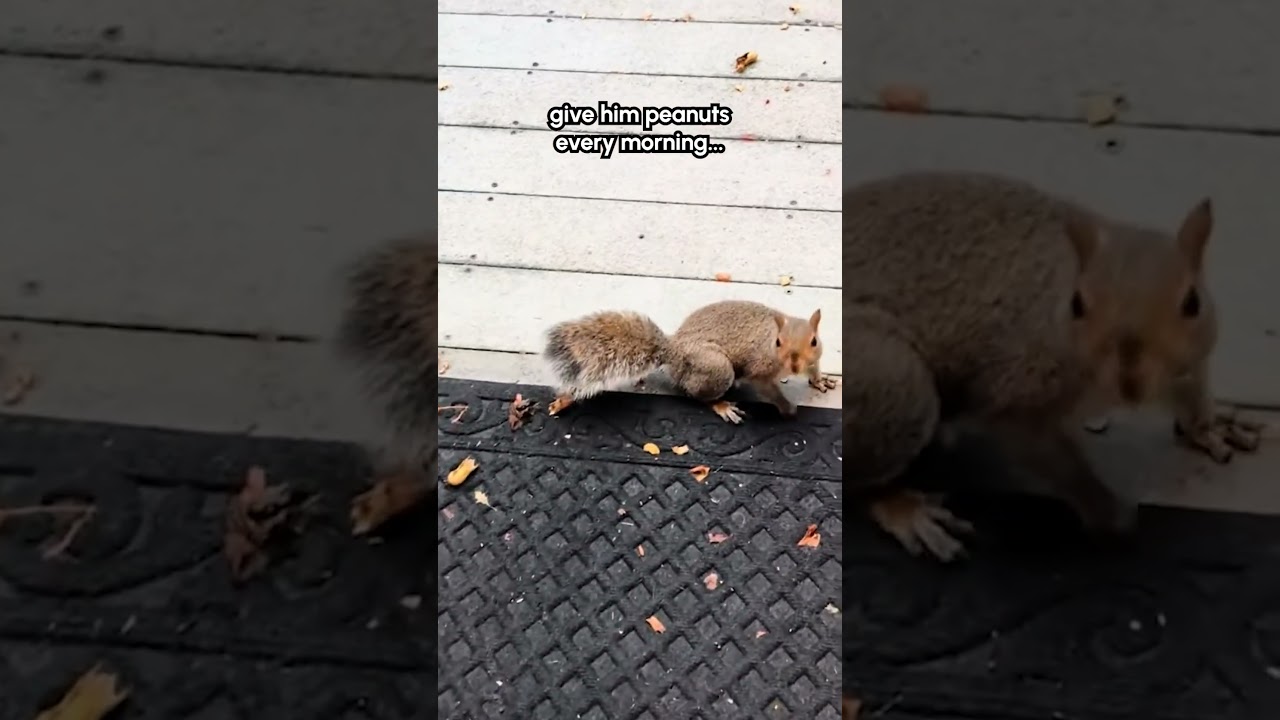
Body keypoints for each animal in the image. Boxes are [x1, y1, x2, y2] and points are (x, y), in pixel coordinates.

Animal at [543, 300, 838, 423]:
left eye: (814, 341)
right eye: (777, 342)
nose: (795, 365)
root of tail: (673, 351)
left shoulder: (815, 357)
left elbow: (815, 368)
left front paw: (820, 380)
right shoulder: (761, 369)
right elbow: (768, 389)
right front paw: (787, 407)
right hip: (716, 368)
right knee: (696, 394)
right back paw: (722, 406)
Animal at [842, 171, 1264, 561]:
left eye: (1193, 302)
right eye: (1077, 303)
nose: (1131, 384)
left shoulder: (1192, 358)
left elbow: (1193, 392)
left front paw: (1213, 426)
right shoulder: (1021, 386)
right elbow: (1047, 454)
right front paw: (1107, 509)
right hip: (895, 384)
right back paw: (904, 508)